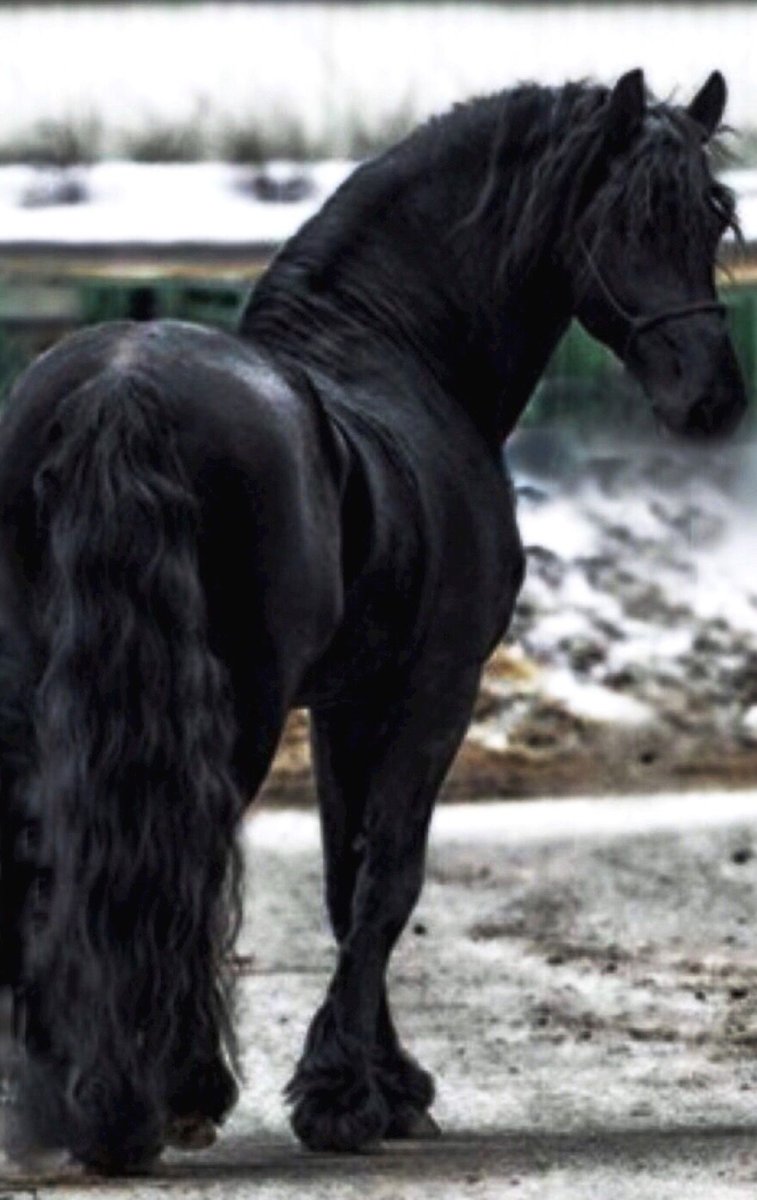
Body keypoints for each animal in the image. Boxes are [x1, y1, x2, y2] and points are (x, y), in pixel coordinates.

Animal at [0, 68, 746, 1173]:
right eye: (628, 216)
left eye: (711, 211)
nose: (711, 400)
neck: (393, 361)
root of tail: (119, 391)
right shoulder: (434, 689)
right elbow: (390, 875)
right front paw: (347, 1099)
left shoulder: (346, 702)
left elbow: (342, 876)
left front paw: (382, 1084)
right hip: (241, 703)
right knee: (176, 844)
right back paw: (154, 1097)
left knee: (45, 844)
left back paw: (56, 1102)